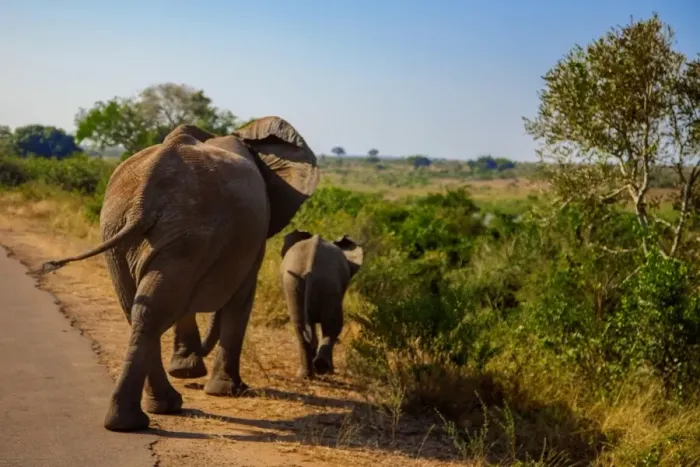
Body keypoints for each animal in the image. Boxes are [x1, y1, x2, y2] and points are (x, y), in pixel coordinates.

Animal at [38, 116, 320, 432]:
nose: (190, 367)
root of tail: (144, 195)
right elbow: (240, 298)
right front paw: (228, 390)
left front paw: (188, 372)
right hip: (173, 229)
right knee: (153, 310)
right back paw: (145, 415)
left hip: (134, 229)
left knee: (140, 309)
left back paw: (144, 414)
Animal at [279, 230, 364, 379]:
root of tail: (310, 266)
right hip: (326, 283)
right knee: (332, 326)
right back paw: (322, 369)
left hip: (293, 282)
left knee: (301, 327)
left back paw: (305, 375)